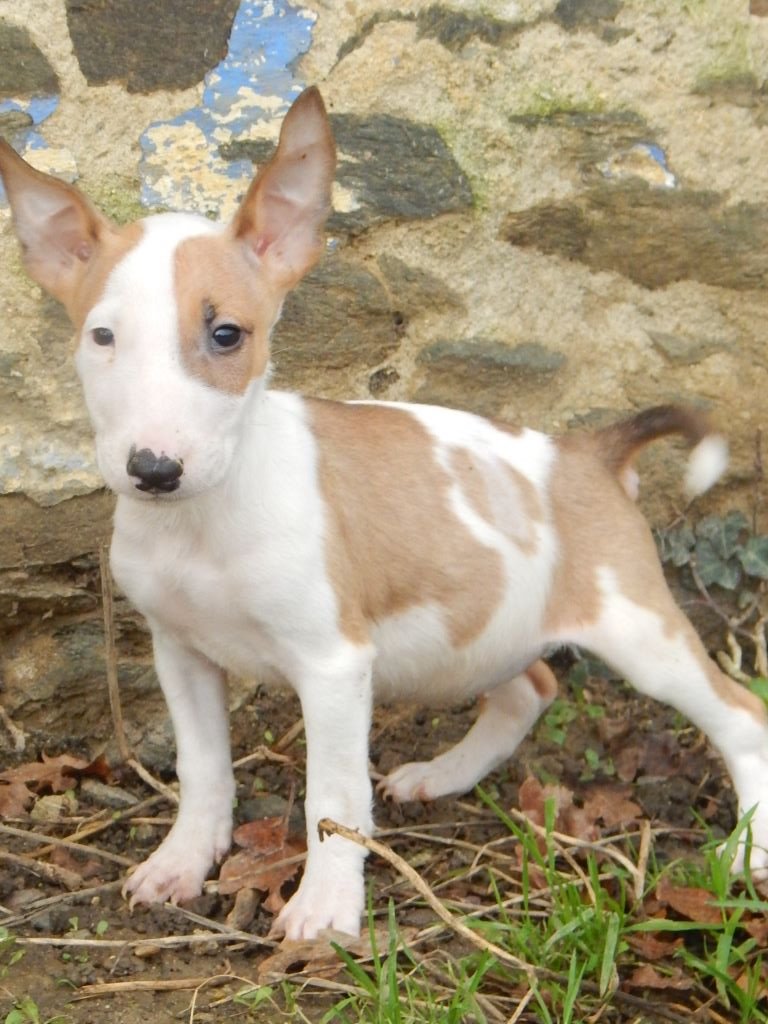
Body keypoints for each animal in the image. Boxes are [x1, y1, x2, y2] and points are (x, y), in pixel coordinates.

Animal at [2, 87, 767, 941]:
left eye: (226, 333)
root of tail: (591, 450)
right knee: (530, 688)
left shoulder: (333, 667)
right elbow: (203, 772)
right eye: (102, 337)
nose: (154, 470)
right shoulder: (182, 655)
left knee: (743, 717)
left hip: (641, 634)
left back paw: (746, 851)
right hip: (493, 630)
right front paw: (183, 863)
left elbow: (332, 799)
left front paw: (326, 910)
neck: (206, 519)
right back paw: (445, 774)